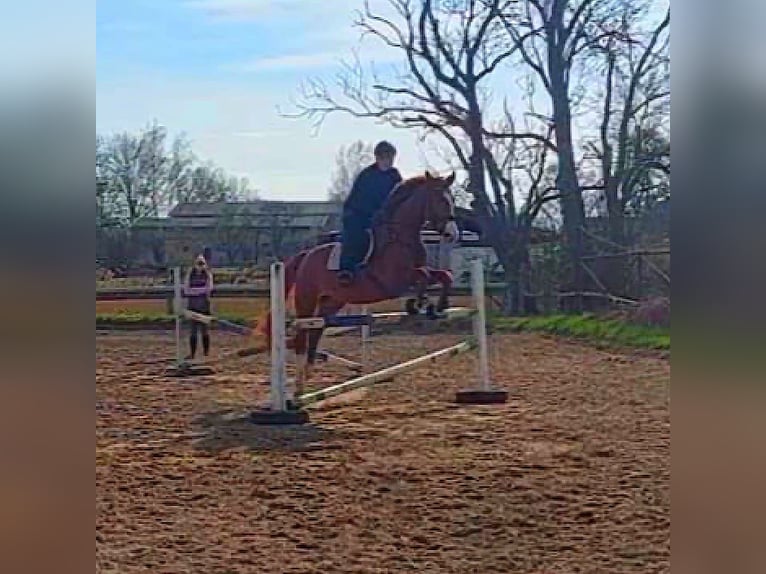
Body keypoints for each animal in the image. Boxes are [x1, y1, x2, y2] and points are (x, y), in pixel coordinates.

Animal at [260, 172, 460, 396]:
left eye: (452, 200)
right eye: (440, 200)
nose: (453, 234)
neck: (400, 237)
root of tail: (307, 254)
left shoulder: (417, 272)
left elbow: (444, 275)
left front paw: (440, 306)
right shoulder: (394, 280)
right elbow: (423, 276)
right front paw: (419, 303)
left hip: (332, 300)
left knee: (317, 328)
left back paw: (309, 371)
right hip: (307, 299)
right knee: (303, 333)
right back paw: (299, 387)